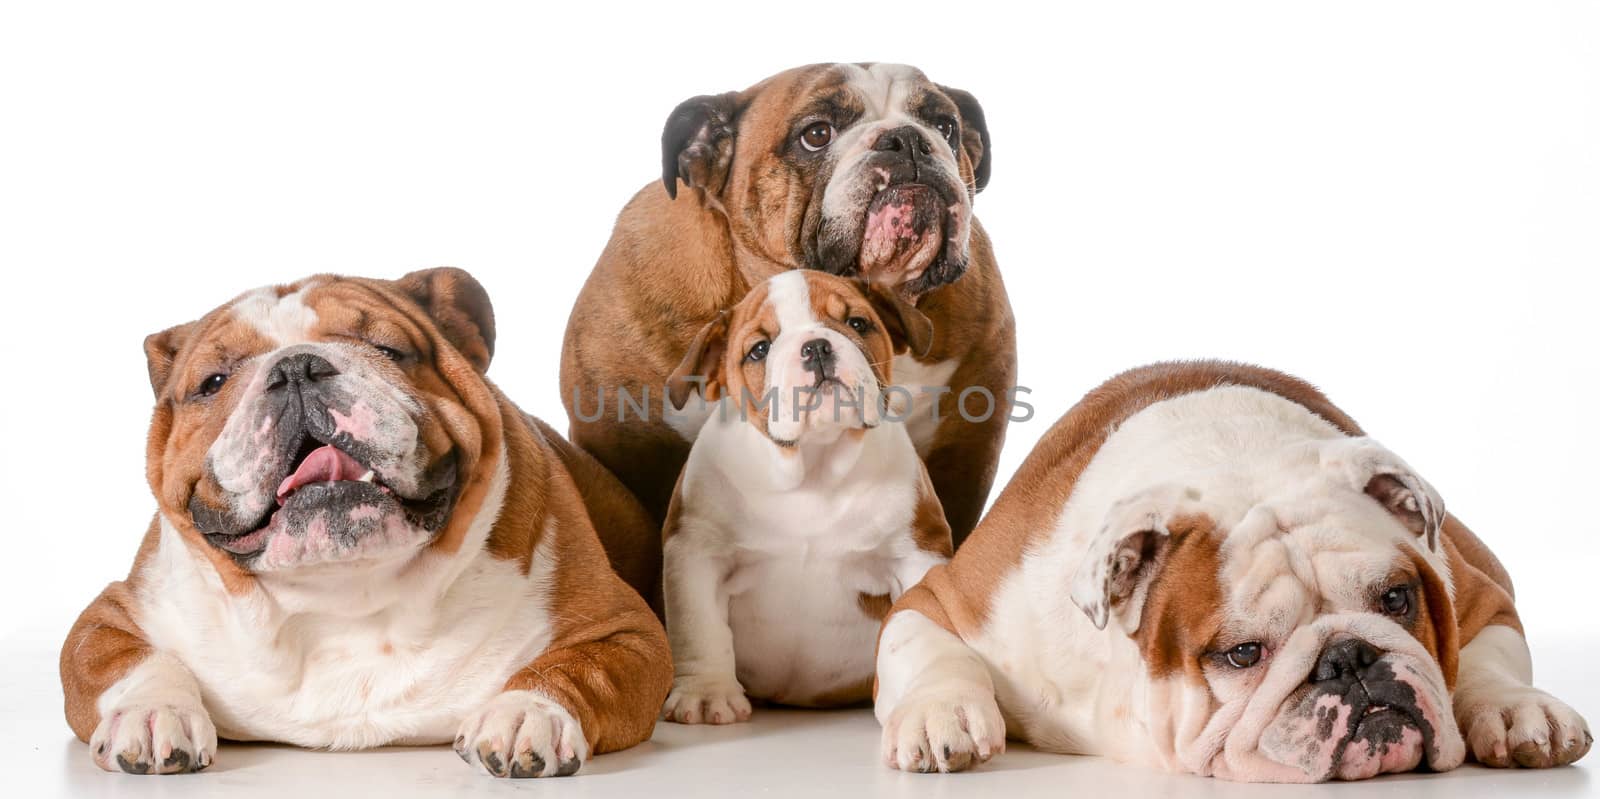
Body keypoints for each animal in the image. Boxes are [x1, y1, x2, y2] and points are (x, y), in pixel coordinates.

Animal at [59, 272, 672, 778]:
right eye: (212, 381)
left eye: (389, 349)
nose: (295, 367)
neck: (343, 591)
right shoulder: (115, 611)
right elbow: (130, 658)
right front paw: (151, 713)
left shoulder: (624, 630)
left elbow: (577, 667)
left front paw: (526, 712)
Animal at [659, 272, 947, 723]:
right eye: (759, 349)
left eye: (858, 323)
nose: (816, 346)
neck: (814, 465)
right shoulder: (695, 552)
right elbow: (698, 627)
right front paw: (706, 695)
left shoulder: (917, 553)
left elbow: (914, 628)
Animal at [876, 363, 1587, 781]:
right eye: (1243, 653)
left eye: (1396, 600)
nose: (1349, 658)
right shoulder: (942, 597)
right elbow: (929, 649)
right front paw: (943, 714)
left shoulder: (1479, 596)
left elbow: (1488, 660)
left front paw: (1518, 710)